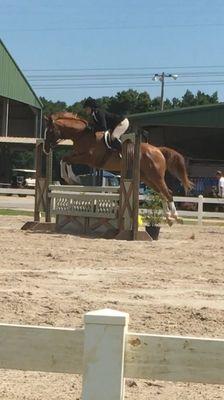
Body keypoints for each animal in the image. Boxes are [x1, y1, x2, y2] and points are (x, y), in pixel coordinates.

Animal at [43, 112, 192, 223]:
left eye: (49, 131)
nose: (45, 149)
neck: (82, 135)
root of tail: (158, 150)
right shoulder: (77, 155)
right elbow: (64, 160)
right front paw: (70, 178)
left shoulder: (89, 158)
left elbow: (66, 160)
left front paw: (72, 179)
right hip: (147, 178)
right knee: (162, 193)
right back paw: (168, 217)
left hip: (156, 176)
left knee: (168, 192)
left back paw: (175, 216)